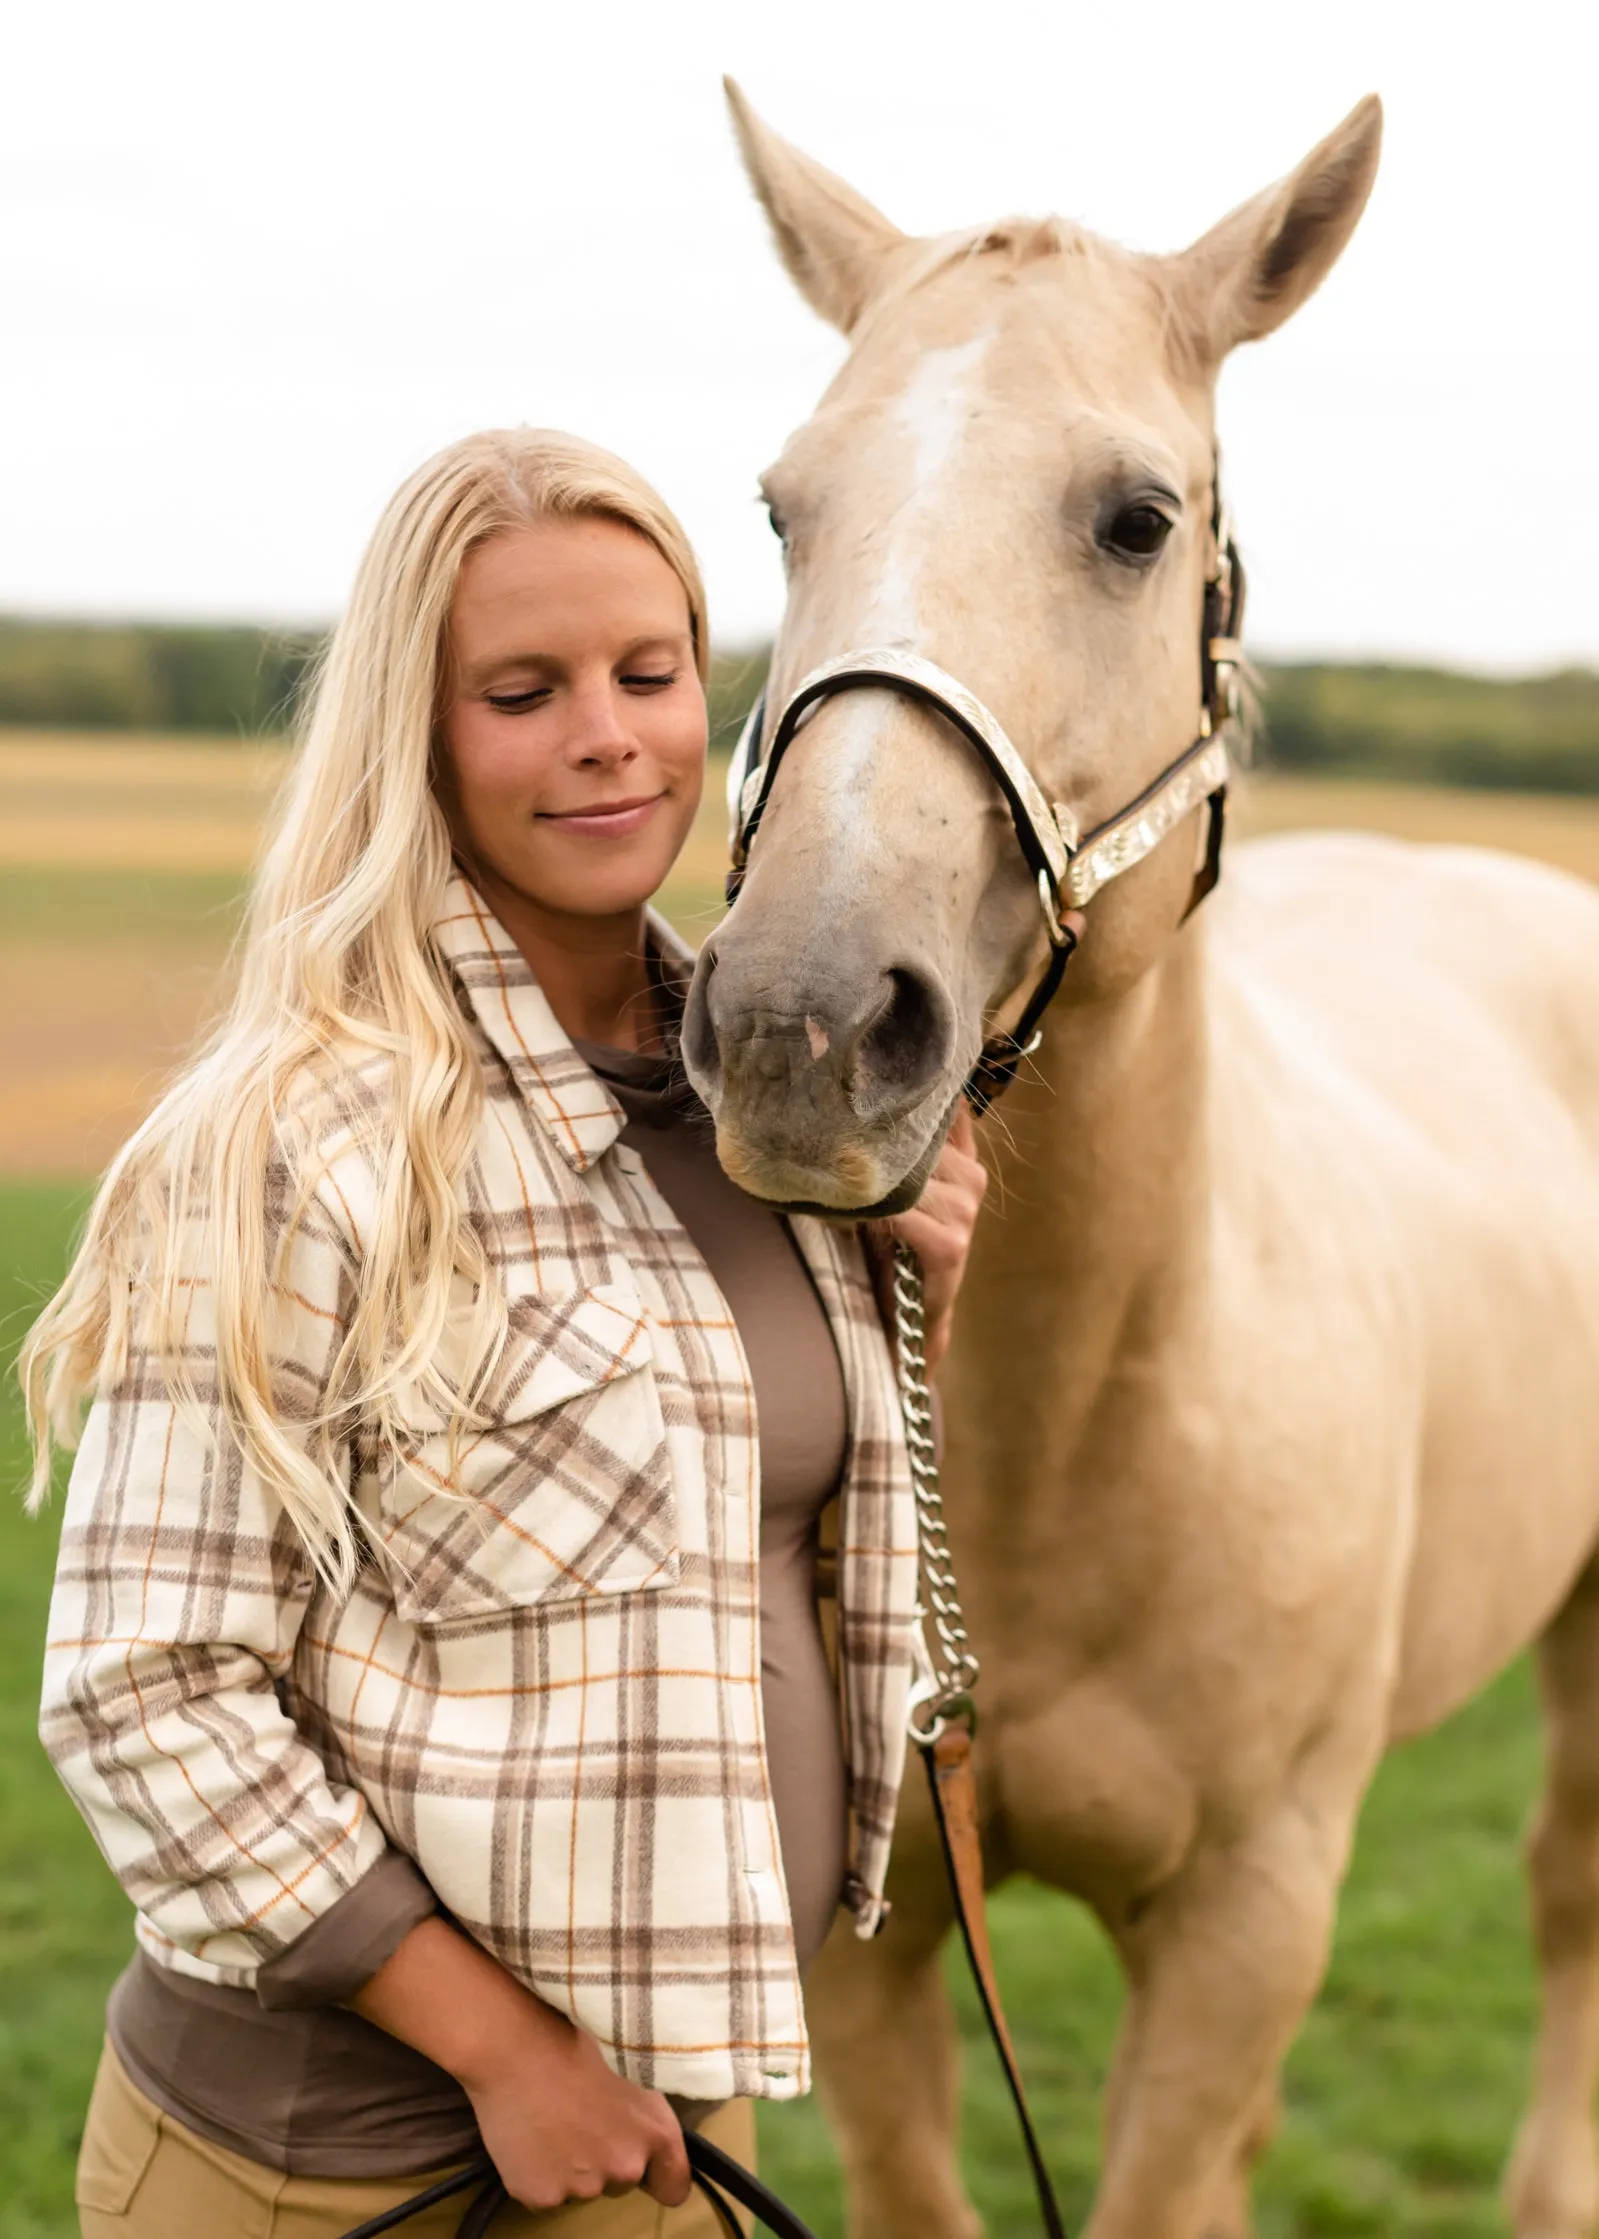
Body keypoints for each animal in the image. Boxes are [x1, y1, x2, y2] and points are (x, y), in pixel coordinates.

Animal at [676, 82, 1599, 2239]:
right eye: (780, 509)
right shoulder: (872, 1941)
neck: (1078, 1426)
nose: (797, 1025)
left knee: (1563, 1897)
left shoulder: (1241, 1924)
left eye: (1133, 518)